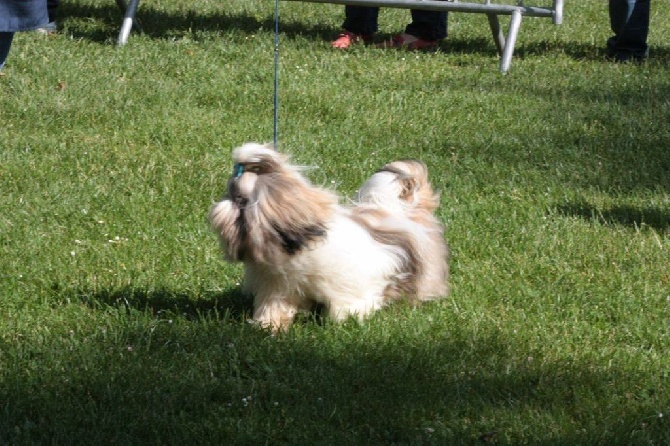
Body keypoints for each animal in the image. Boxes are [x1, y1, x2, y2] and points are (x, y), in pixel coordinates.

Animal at [210, 143, 452, 332]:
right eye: (229, 193)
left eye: (241, 200)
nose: (223, 203)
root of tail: (406, 209)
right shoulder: (278, 285)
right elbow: (275, 305)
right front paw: (268, 325)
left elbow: (348, 303)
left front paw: (346, 319)